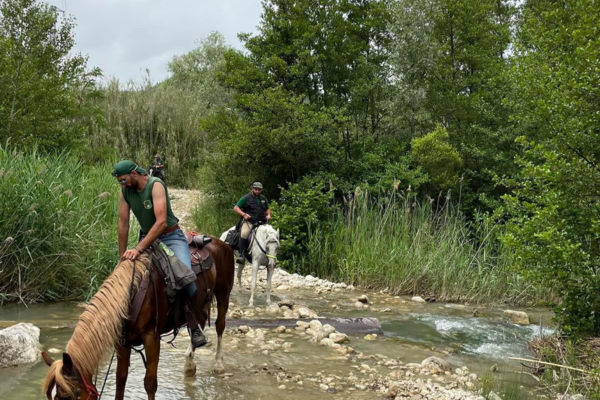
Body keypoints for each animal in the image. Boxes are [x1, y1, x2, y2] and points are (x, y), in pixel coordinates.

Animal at [41, 239, 234, 398]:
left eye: (67, 396)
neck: (132, 294)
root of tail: (219, 243)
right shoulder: (123, 342)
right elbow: (120, 379)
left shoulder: (152, 339)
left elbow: (150, 383)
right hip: (200, 305)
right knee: (199, 323)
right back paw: (189, 366)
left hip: (223, 294)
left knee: (220, 325)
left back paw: (218, 365)